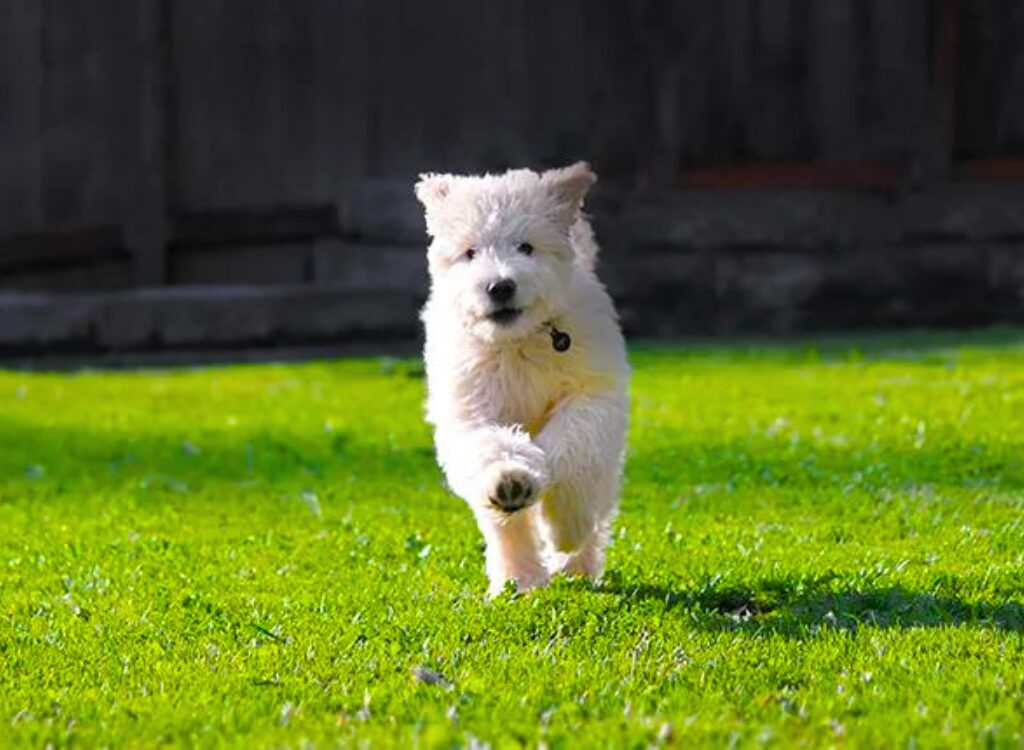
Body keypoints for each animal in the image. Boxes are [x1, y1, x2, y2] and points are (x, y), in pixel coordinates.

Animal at [413, 160, 622, 594]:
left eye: (526, 246)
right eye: (470, 253)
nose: (499, 286)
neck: (517, 341)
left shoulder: (592, 395)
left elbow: (573, 450)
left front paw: (566, 529)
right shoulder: (471, 412)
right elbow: (494, 448)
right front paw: (509, 479)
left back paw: (575, 561)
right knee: (505, 526)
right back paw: (518, 577)